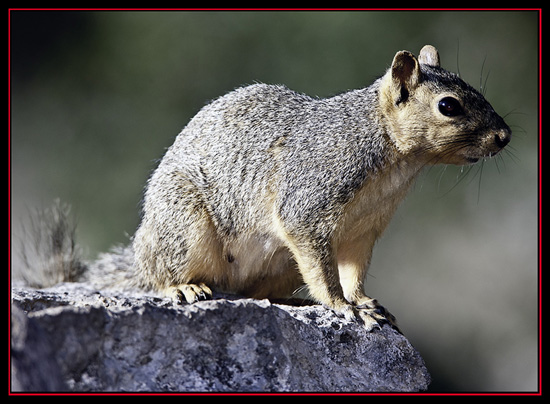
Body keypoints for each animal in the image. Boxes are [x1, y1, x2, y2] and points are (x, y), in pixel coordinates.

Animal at [16, 45, 512, 332]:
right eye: (448, 106)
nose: (504, 136)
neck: (395, 160)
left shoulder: (363, 230)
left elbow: (353, 270)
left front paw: (363, 301)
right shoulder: (310, 201)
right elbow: (324, 268)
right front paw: (342, 306)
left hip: (280, 264)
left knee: (254, 293)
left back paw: (284, 298)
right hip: (183, 227)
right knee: (158, 274)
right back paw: (181, 289)